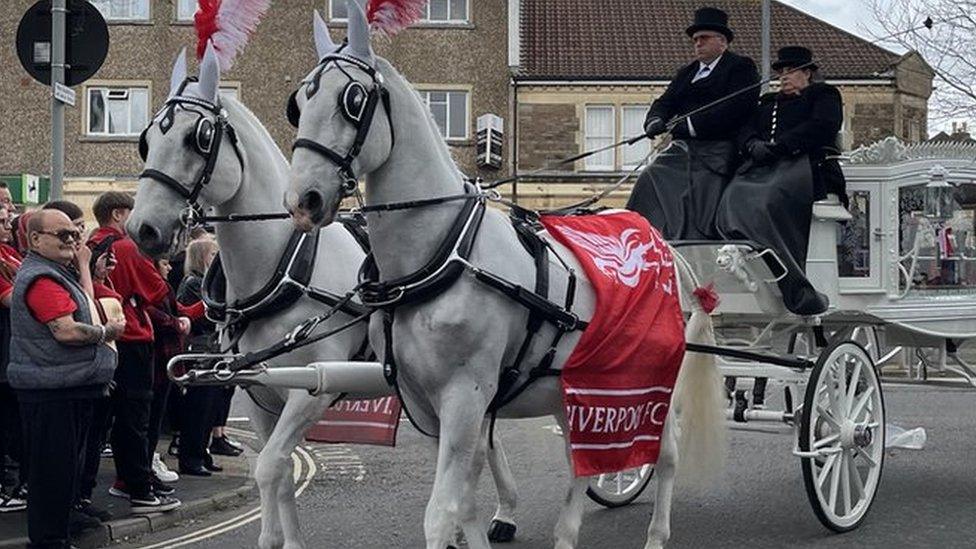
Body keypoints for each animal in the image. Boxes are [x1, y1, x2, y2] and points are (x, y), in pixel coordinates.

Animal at [282, 1, 724, 548]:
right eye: (298, 103)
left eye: (354, 100)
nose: (303, 201)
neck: (443, 253)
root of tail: (668, 250)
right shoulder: (424, 403)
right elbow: (466, 504)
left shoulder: (465, 397)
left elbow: (441, 511)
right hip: (575, 384)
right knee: (580, 459)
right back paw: (567, 531)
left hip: (650, 384)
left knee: (665, 455)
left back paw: (656, 534)